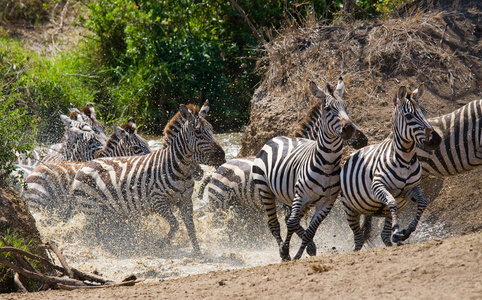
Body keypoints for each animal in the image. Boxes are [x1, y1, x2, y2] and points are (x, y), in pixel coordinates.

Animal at [69, 103, 226, 253]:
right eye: (198, 131)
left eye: (212, 130)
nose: (222, 156)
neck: (180, 169)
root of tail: (85, 165)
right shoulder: (157, 202)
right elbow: (175, 224)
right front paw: (160, 243)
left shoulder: (186, 201)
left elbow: (191, 227)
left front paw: (198, 252)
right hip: (93, 209)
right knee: (95, 233)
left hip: (109, 213)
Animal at [250, 79, 360, 260]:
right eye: (328, 108)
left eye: (346, 107)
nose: (350, 128)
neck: (327, 164)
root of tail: (276, 137)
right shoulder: (300, 195)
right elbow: (292, 223)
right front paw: (286, 251)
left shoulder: (326, 203)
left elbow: (310, 230)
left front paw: (302, 253)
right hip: (265, 190)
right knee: (274, 223)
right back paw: (283, 251)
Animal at [338, 84, 440, 251]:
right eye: (409, 116)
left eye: (425, 112)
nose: (436, 139)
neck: (405, 160)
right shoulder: (378, 186)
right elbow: (392, 202)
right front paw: (398, 230)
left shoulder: (411, 189)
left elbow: (423, 202)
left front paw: (405, 231)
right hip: (350, 209)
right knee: (358, 239)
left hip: (381, 211)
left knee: (383, 235)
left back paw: (392, 241)